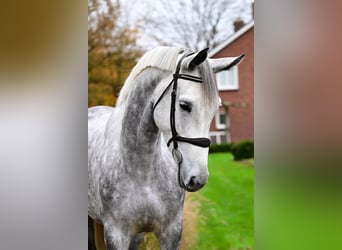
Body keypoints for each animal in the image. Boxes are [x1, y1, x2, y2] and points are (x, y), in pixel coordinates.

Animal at [88, 46, 243, 248]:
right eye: (184, 105)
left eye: (215, 109)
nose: (198, 178)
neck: (143, 173)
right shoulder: (116, 234)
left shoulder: (171, 232)